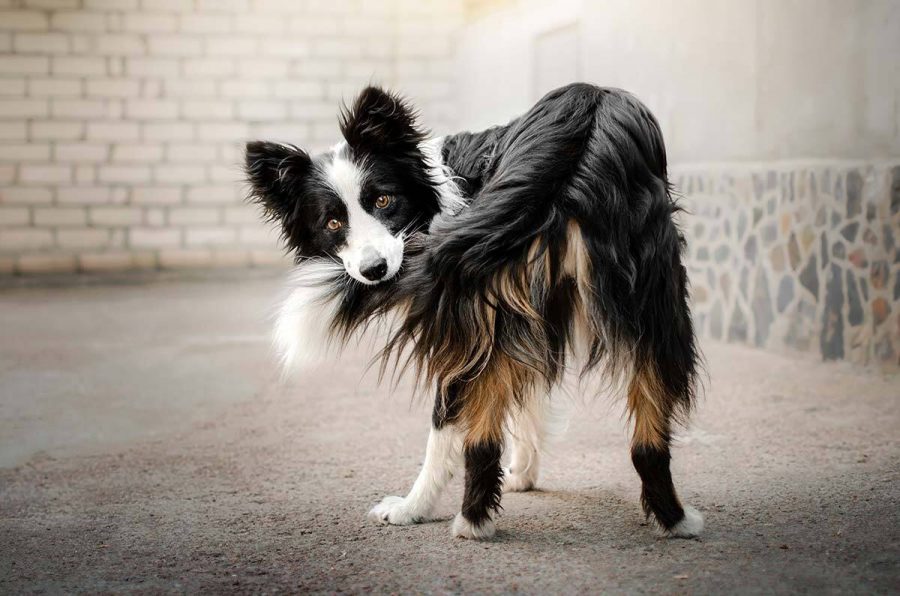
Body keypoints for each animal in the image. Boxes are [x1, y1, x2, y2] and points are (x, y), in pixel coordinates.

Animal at [246, 84, 704, 540]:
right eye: (333, 224)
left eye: (383, 200)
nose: (374, 271)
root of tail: (581, 124)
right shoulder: (519, 314)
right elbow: (519, 398)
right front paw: (523, 472)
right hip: (646, 300)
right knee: (643, 439)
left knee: (465, 430)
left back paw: (436, 513)